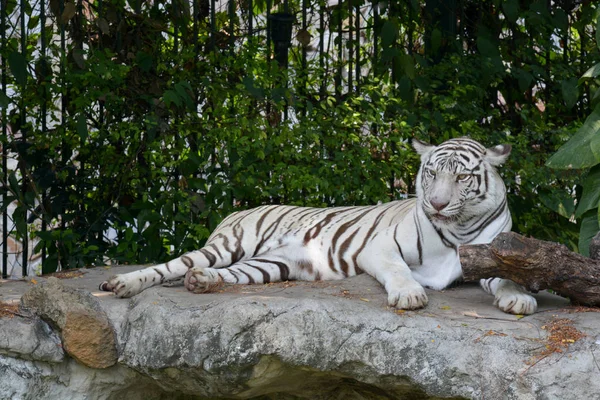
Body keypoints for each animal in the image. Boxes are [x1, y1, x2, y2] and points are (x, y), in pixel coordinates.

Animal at [101, 138, 536, 316]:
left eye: (461, 177)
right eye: (431, 174)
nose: (438, 204)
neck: (458, 227)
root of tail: (234, 211)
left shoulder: (493, 255)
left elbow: (509, 277)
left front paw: (519, 299)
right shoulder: (380, 248)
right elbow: (399, 270)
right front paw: (410, 295)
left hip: (272, 265)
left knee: (220, 274)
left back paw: (201, 282)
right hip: (226, 246)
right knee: (172, 265)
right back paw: (121, 284)